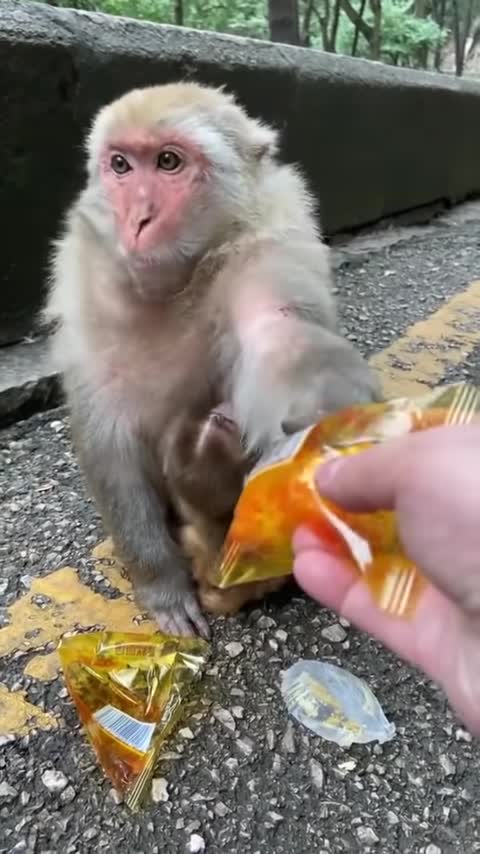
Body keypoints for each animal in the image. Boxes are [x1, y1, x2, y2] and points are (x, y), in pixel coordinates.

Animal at [44, 81, 381, 638]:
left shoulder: (265, 259)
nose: (137, 218)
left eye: (168, 161)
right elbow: (109, 441)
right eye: (120, 165)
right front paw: (161, 585)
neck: (175, 286)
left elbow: (278, 336)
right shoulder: (89, 302)